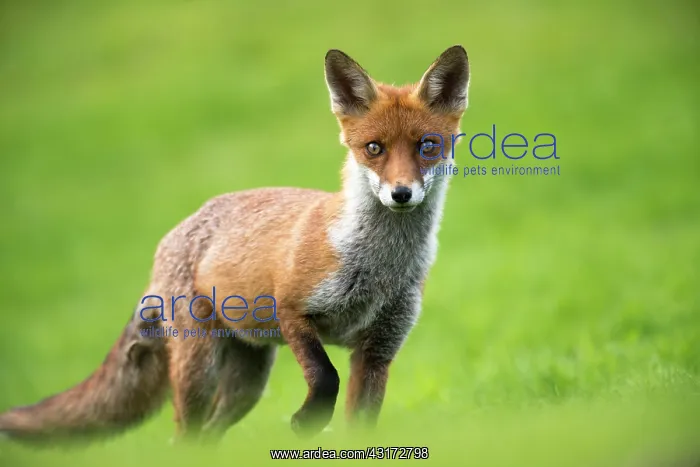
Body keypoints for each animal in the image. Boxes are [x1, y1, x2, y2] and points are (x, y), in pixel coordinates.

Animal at [0, 45, 470, 444]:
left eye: (427, 146)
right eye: (374, 148)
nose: (401, 194)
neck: (377, 265)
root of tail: (178, 229)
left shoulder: (378, 351)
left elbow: (362, 425)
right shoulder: (293, 310)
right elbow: (325, 376)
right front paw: (307, 421)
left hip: (248, 381)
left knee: (209, 434)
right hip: (200, 368)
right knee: (184, 436)